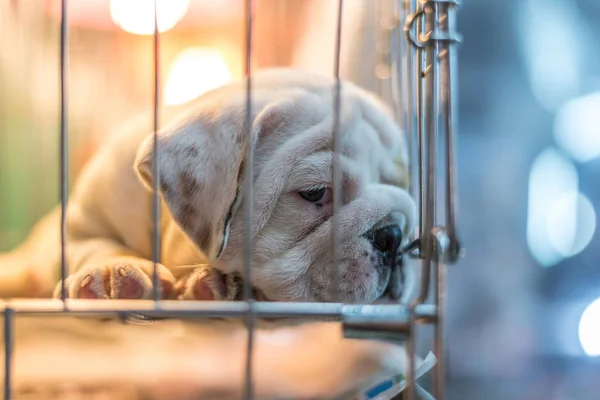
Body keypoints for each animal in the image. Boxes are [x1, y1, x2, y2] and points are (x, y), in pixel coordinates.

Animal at [0, 68, 414, 304]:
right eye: (316, 193)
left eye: (399, 185)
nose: (393, 235)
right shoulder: (78, 221)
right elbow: (91, 243)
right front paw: (110, 273)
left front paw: (212, 283)